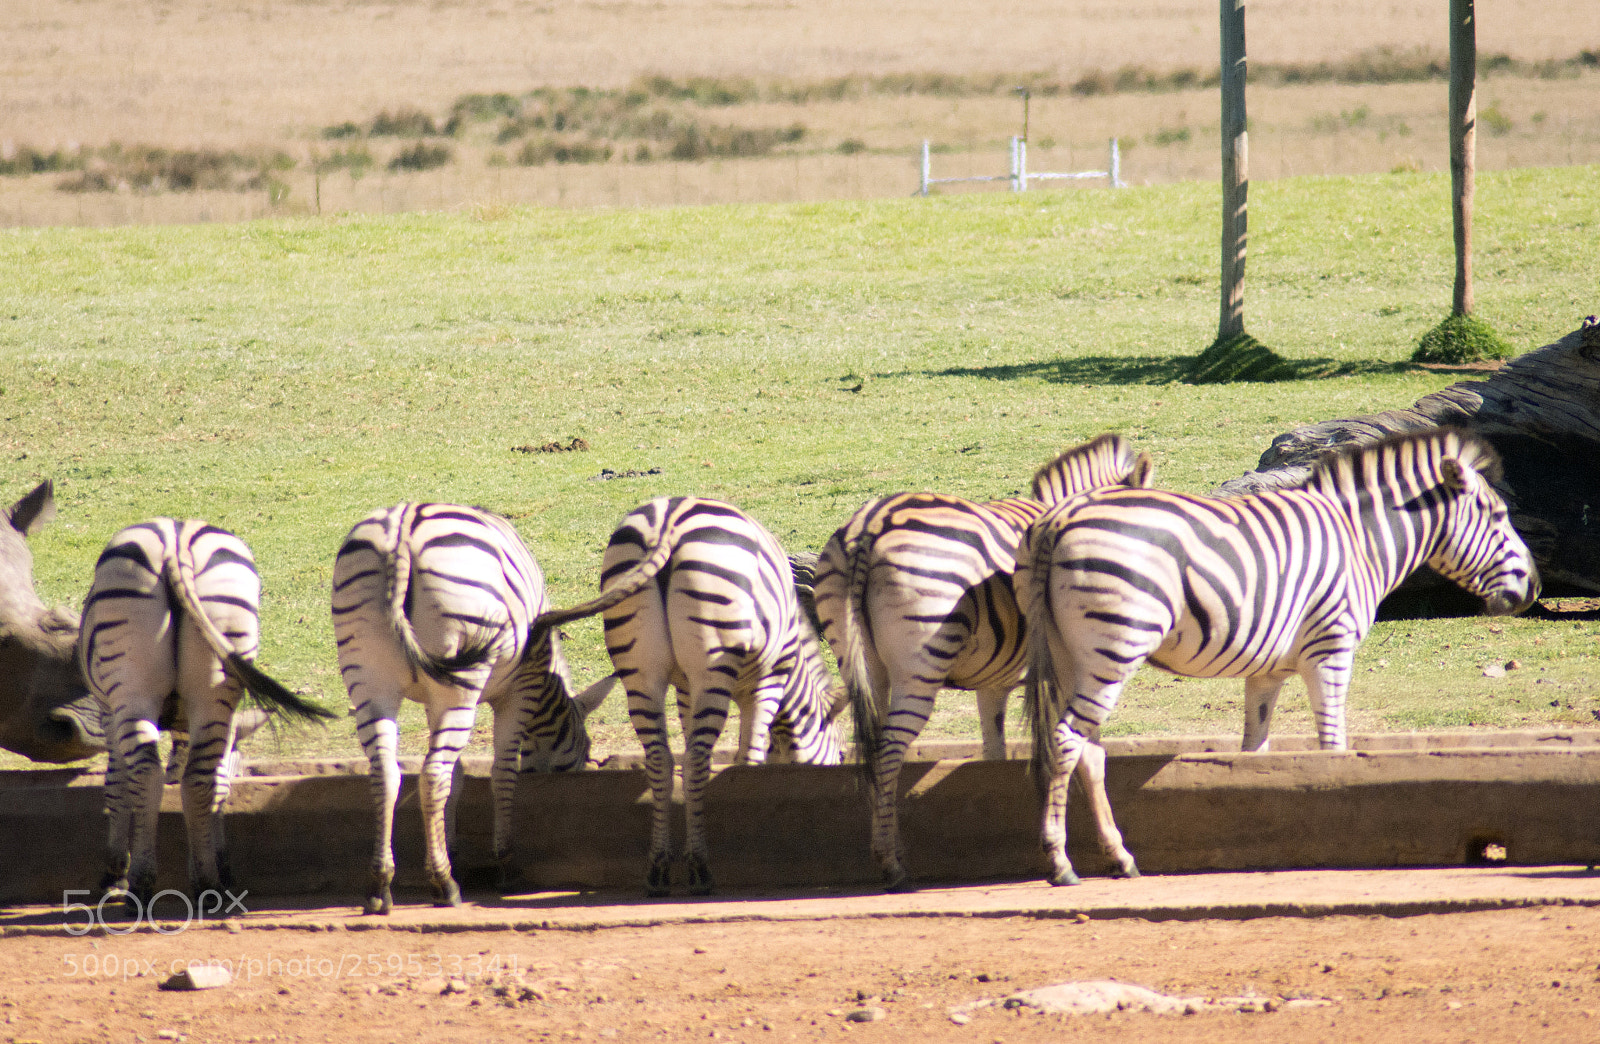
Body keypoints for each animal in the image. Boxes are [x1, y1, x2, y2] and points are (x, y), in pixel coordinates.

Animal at [81, 519, 335, 908]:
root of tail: (176, 538)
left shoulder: (109, 712)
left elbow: (115, 784)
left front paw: (113, 873)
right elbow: (219, 786)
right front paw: (221, 866)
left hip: (131, 688)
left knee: (146, 773)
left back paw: (141, 883)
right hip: (218, 677)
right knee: (199, 779)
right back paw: (207, 884)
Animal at [332, 502, 615, 915]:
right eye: (577, 763)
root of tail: (405, 524)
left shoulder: (433, 701)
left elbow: (460, 775)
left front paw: (448, 849)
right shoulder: (519, 691)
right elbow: (503, 771)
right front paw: (504, 863)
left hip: (368, 676)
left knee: (386, 773)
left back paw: (380, 887)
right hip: (460, 676)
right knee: (432, 774)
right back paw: (445, 886)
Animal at [529, 496, 845, 897]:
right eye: (841, 755)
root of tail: (670, 520)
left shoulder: (684, 688)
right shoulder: (769, 681)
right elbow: (749, 757)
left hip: (639, 670)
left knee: (661, 759)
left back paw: (658, 869)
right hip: (711, 661)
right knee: (695, 759)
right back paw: (700, 869)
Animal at [810, 433, 1155, 891]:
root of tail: (868, 527)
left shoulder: (995, 684)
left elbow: (995, 753)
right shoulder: (1061, 675)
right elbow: (1086, 757)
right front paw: (1112, 854)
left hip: (860, 662)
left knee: (873, 748)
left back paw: (893, 851)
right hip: (921, 663)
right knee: (889, 748)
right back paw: (891, 865)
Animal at [1019, 428, 1540, 887]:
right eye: (1497, 515)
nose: (1533, 588)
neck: (1359, 540)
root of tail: (1059, 520)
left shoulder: (1267, 672)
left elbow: (1255, 753)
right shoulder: (1331, 650)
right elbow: (1333, 745)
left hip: (1073, 657)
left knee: (1088, 751)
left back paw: (1119, 858)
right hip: (1116, 646)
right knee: (1066, 740)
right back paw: (1060, 863)